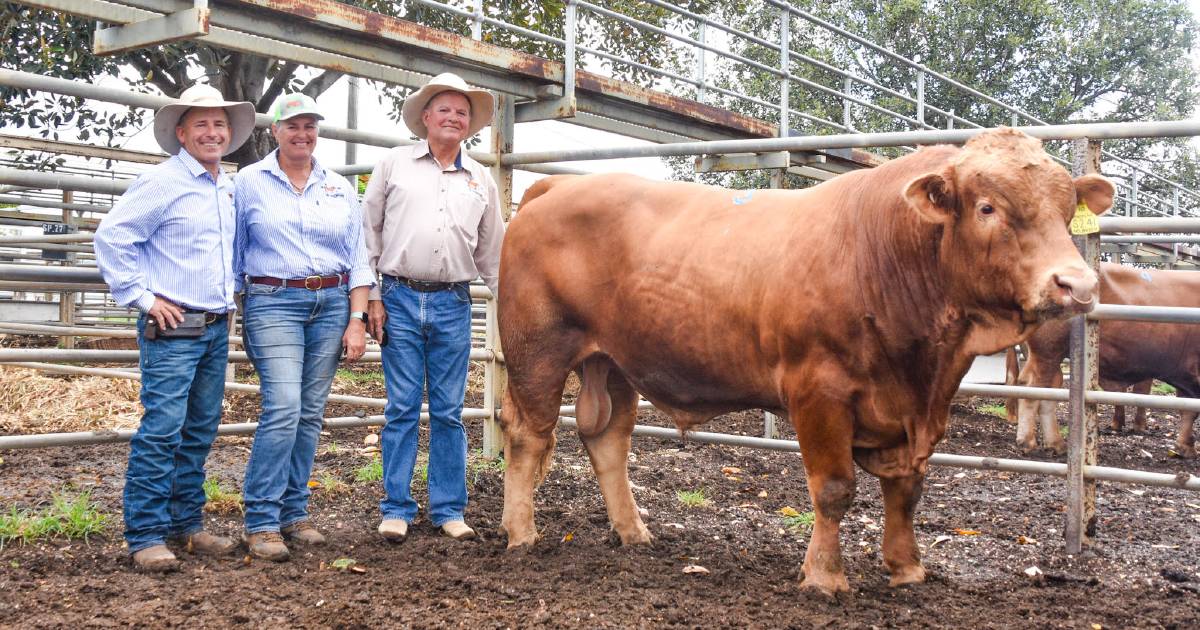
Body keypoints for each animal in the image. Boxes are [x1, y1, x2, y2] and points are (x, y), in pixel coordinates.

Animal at [492, 129, 1108, 595]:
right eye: (987, 207)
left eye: (1065, 212)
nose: (1077, 285)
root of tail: (555, 185)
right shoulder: (819, 391)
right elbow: (834, 489)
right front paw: (825, 578)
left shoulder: (917, 408)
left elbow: (906, 489)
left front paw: (907, 568)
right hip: (537, 352)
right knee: (528, 434)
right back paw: (521, 534)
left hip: (614, 363)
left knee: (608, 439)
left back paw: (634, 532)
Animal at [1012, 261, 1200, 456]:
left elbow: (1188, 410)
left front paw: (1184, 447)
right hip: (1047, 351)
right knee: (1033, 388)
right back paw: (1027, 441)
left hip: (1051, 355)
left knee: (1046, 391)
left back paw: (1056, 444)